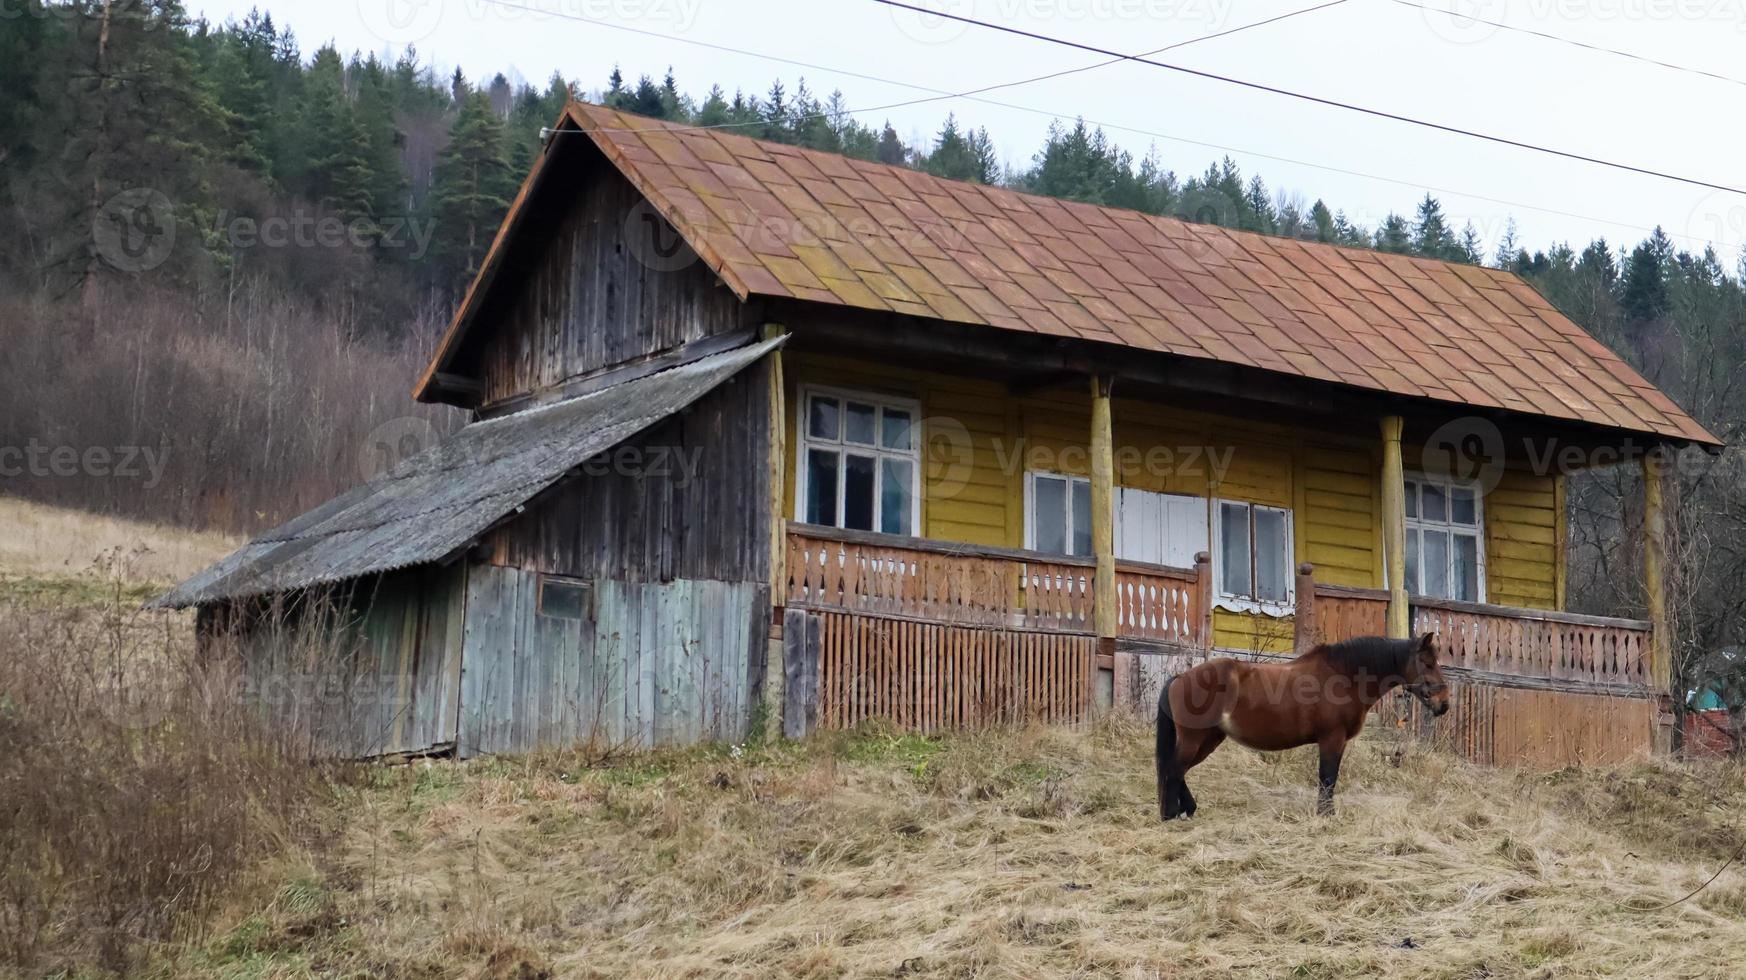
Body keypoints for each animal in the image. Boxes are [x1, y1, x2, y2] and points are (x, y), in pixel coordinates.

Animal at [1152, 628, 1452, 814]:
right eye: (1427, 663)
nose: (1444, 704)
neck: (1344, 676)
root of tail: (1180, 678)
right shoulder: (1332, 739)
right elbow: (1328, 777)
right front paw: (1326, 815)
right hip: (1194, 738)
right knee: (1174, 770)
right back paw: (1171, 814)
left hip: (1210, 739)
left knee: (1179, 771)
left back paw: (1187, 810)